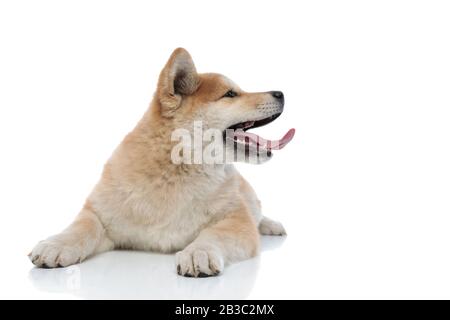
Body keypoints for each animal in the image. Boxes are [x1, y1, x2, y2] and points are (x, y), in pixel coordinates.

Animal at [29, 48, 296, 276]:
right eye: (230, 94)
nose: (281, 93)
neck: (178, 169)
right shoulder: (100, 212)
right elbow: (82, 226)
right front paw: (56, 244)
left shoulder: (237, 220)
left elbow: (214, 233)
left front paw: (199, 251)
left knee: (258, 213)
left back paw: (271, 225)